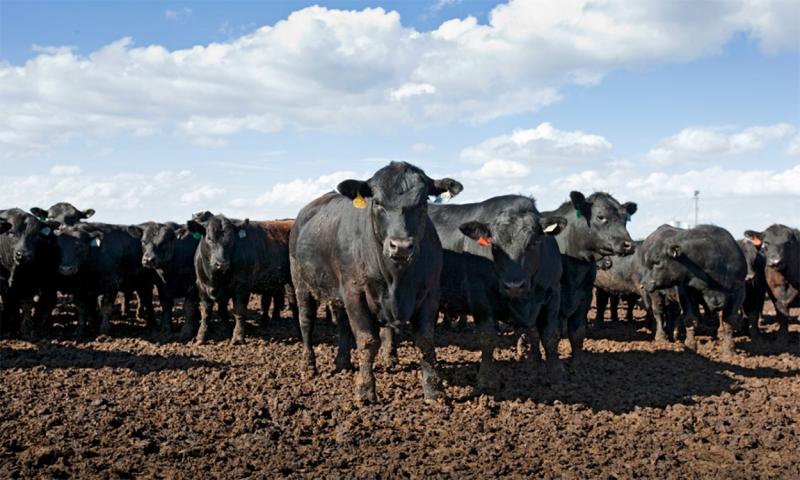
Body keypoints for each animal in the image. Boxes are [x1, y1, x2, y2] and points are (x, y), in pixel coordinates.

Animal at [186, 215, 296, 344]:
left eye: (231, 240)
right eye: (209, 239)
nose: (221, 264)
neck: (215, 278)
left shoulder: (242, 287)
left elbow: (239, 311)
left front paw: (238, 337)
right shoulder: (201, 286)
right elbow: (207, 312)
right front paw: (201, 336)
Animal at [290, 161, 462, 403]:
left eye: (422, 202)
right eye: (378, 202)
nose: (400, 246)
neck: (396, 280)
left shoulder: (430, 293)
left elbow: (426, 340)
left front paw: (434, 391)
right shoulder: (355, 292)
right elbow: (367, 340)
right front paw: (365, 389)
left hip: (337, 293)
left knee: (342, 325)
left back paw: (343, 362)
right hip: (301, 283)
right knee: (306, 322)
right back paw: (309, 366)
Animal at [429, 195, 566, 387]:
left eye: (533, 243)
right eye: (494, 246)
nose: (514, 285)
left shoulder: (553, 294)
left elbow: (549, 335)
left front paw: (554, 374)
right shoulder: (480, 296)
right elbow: (487, 336)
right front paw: (486, 378)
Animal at [541, 191, 637, 364]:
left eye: (625, 219)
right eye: (600, 216)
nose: (629, 245)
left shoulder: (585, 297)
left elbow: (578, 333)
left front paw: (576, 364)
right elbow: (552, 334)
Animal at [639, 224, 746, 357]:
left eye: (658, 263)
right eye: (651, 263)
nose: (643, 284)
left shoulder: (738, 291)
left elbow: (729, 321)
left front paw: (729, 350)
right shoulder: (685, 292)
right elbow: (691, 319)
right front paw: (690, 346)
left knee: (673, 313)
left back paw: (673, 335)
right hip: (655, 292)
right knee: (658, 312)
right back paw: (661, 337)